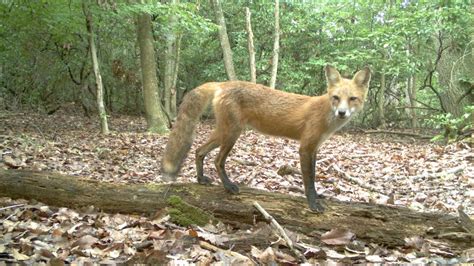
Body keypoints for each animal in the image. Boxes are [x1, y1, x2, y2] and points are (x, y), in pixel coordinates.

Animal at [161, 66, 372, 212]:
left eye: (352, 98)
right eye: (336, 97)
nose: (342, 113)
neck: (325, 115)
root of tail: (223, 83)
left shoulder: (315, 148)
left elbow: (313, 176)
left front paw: (318, 196)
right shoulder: (305, 147)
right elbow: (308, 179)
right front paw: (313, 203)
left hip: (224, 133)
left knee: (198, 151)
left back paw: (200, 179)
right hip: (232, 134)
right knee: (217, 160)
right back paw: (228, 186)